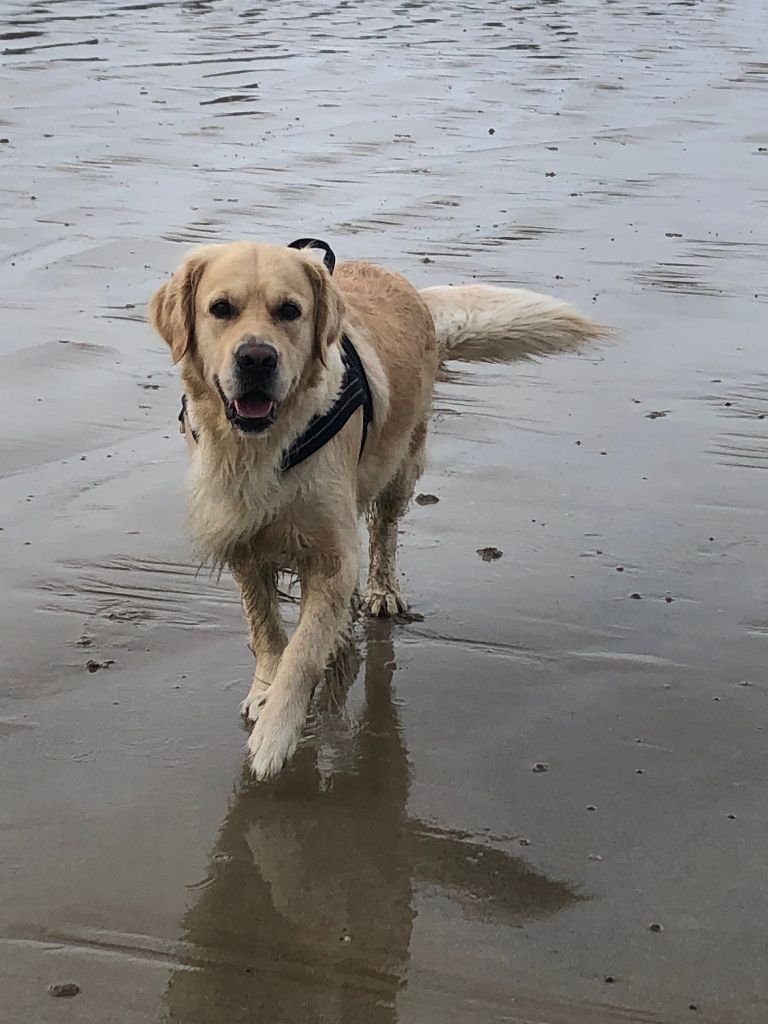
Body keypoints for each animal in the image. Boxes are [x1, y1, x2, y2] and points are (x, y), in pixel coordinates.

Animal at [150, 237, 606, 774]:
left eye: (290, 311)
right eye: (221, 308)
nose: (256, 358)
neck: (266, 446)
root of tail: (410, 289)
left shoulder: (331, 549)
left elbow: (303, 652)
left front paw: (276, 734)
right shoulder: (241, 533)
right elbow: (265, 629)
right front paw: (264, 690)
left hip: (402, 462)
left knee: (383, 532)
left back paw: (381, 593)